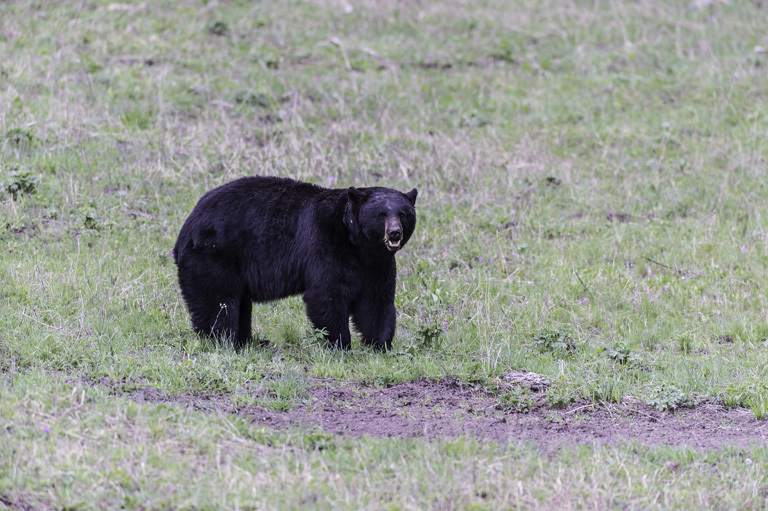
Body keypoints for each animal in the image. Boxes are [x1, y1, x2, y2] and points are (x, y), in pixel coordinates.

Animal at [172, 176, 416, 352]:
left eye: (403, 214)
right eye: (381, 214)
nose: (394, 232)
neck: (357, 243)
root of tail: (184, 231)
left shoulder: (377, 265)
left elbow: (376, 301)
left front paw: (381, 346)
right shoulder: (326, 244)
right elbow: (326, 294)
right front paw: (341, 345)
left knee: (239, 304)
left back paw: (248, 342)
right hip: (213, 256)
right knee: (217, 302)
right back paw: (224, 342)